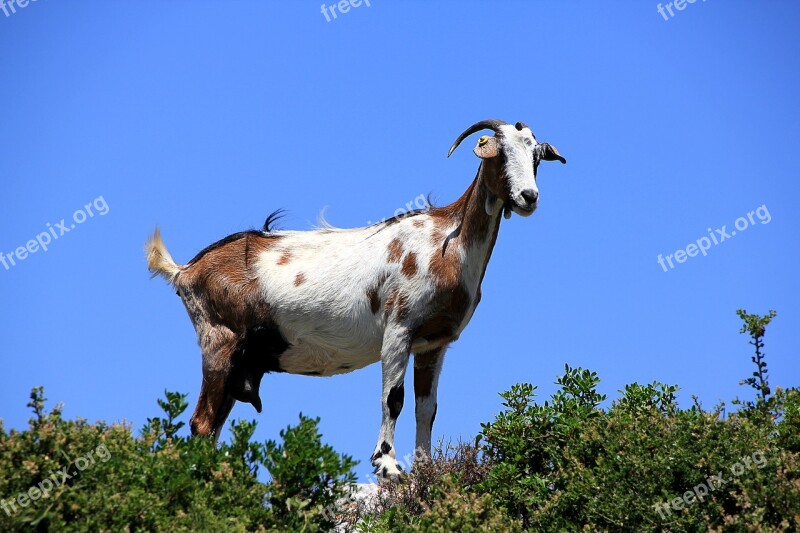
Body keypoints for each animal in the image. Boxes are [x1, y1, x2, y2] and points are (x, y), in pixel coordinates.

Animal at [147, 119, 564, 478]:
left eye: (536, 156)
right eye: (500, 152)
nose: (528, 197)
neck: (448, 241)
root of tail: (185, 270)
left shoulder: (434, 343)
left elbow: (426, 409)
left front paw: (426, 470)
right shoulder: (398, 328)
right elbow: (393, 398)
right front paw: (388, 465)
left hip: (240, 361)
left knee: (213, 426)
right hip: (219, 343)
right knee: (202, 423)